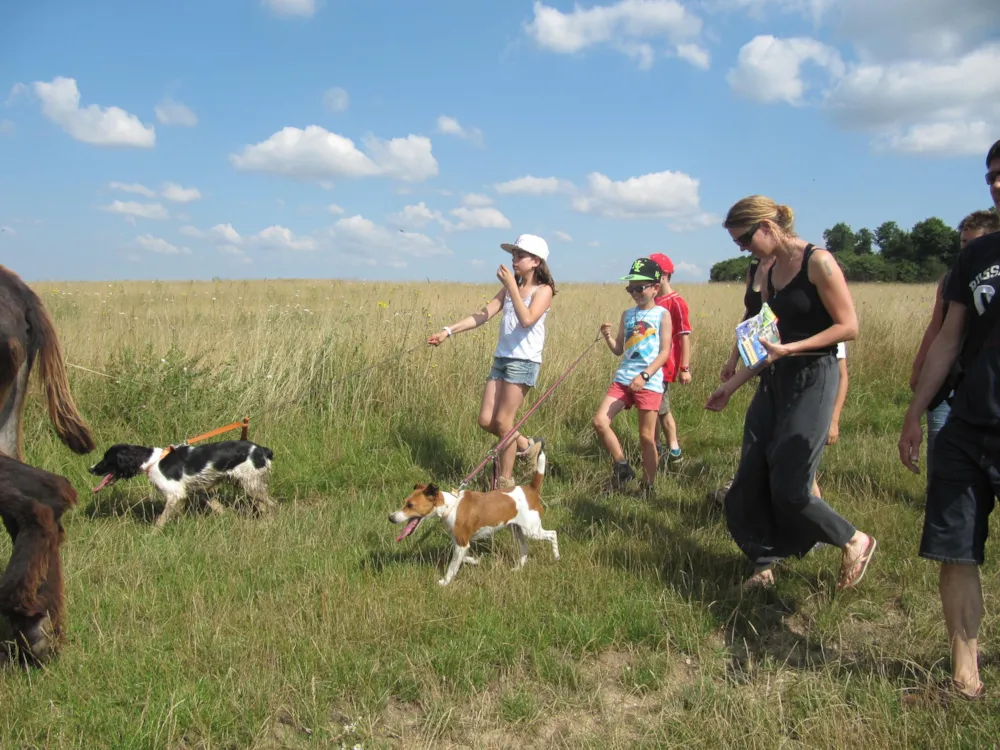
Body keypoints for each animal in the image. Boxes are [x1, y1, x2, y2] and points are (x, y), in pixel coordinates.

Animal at [89, 440, 274, 528]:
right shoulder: (199, 491)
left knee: (273, 504)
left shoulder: (175, 495)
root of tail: (263, 450)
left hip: (251, 484)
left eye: (106, 459)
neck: (151, 461)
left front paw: (151, 535)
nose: (90, 469)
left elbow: (161, 520)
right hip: (249, 484)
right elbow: (220, 508)